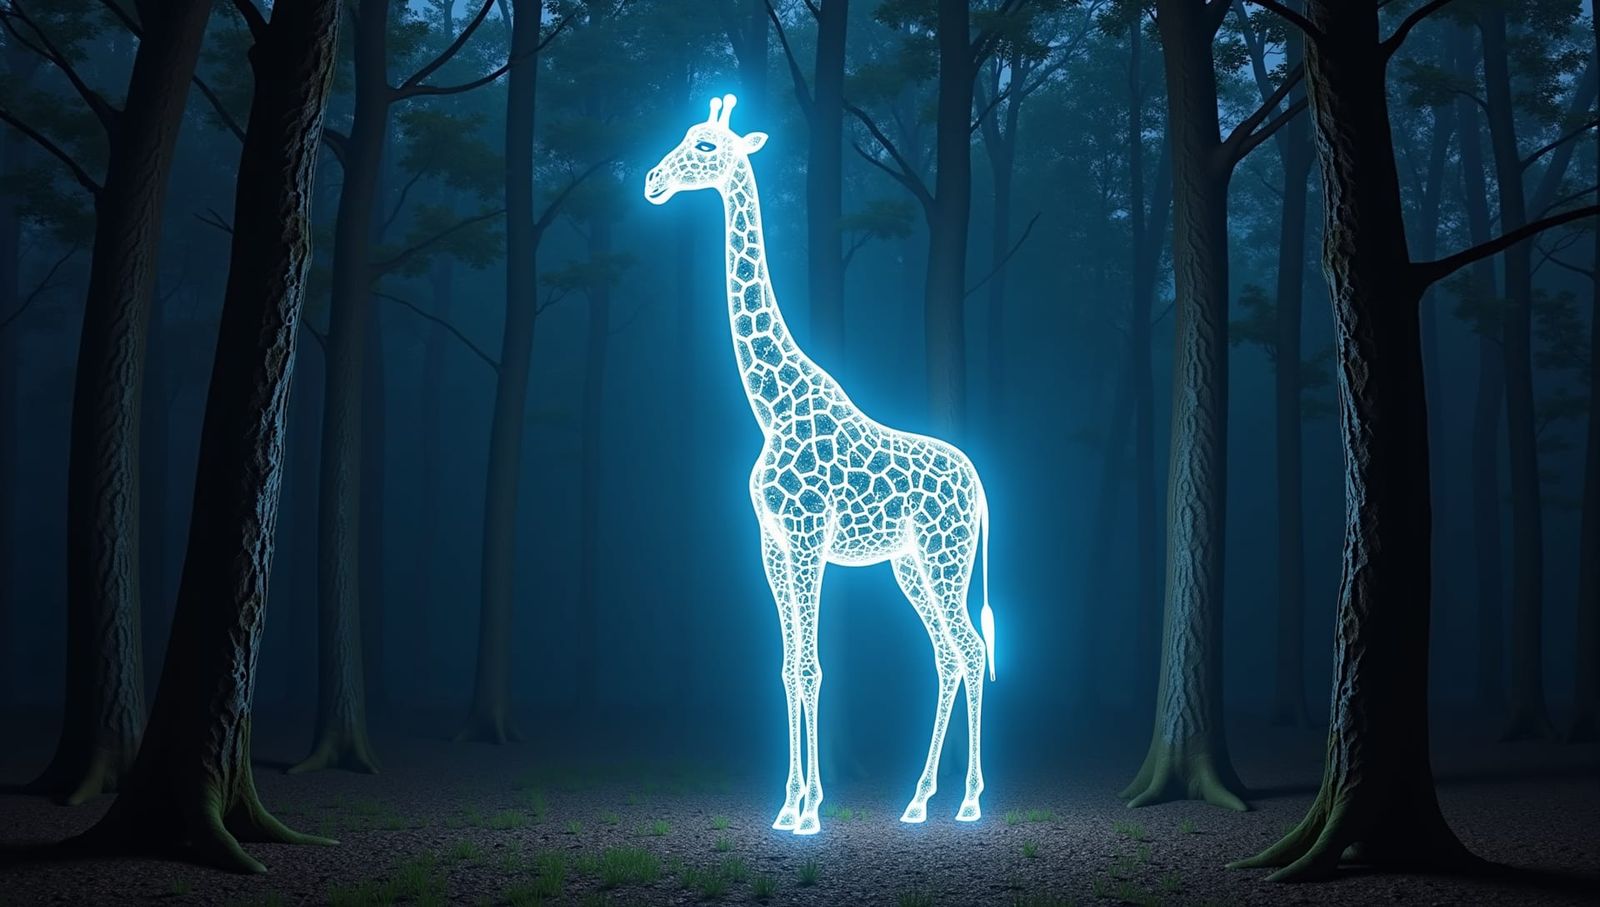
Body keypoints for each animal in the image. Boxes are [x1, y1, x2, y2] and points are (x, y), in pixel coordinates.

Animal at [645, 95, 997, 835]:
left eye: (703, 144)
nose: (652, 182)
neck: (770, 407)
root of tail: (979, 484)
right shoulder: (771, 543)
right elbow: (786, 668)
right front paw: (788, 805)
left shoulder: (808, 540)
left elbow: (811, 666)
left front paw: (808, 811)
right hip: (909, 564)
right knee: (948, 654)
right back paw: (919, 800)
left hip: (946, 559)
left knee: (973, 651)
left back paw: (970, 802)